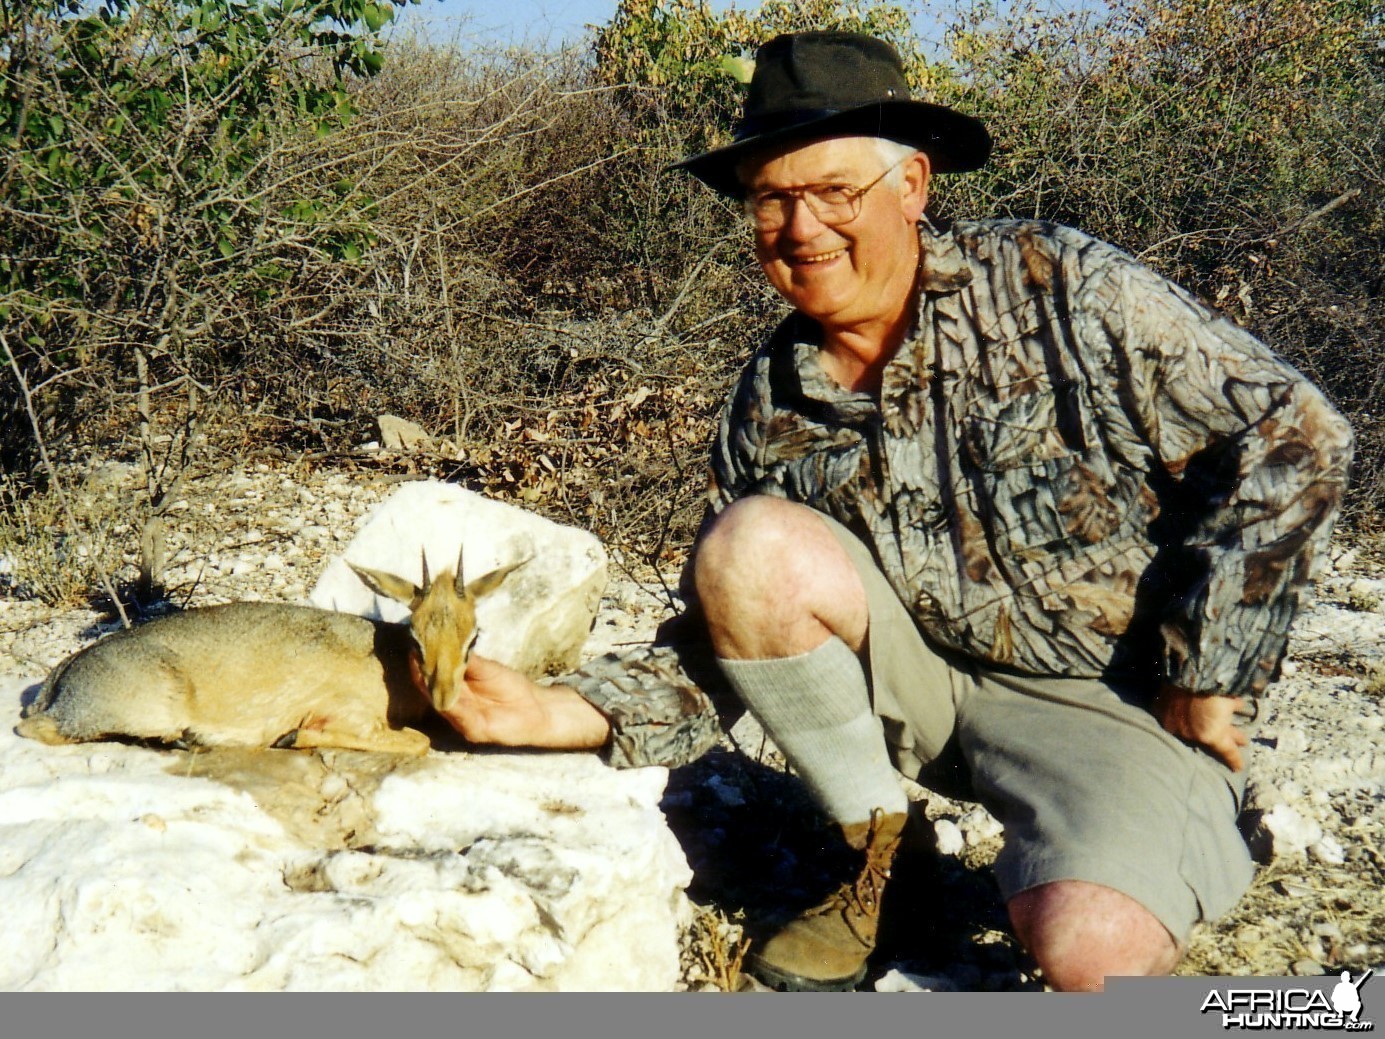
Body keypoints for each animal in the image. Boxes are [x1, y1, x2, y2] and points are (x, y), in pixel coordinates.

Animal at [16, 554, 523, 759]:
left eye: (474, 637)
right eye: (416, 638)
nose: (445, 697)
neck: (389, 665)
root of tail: (58, 680)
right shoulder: (350, 716)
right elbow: (417, 741)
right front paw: (291, 737)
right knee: (34, 729)